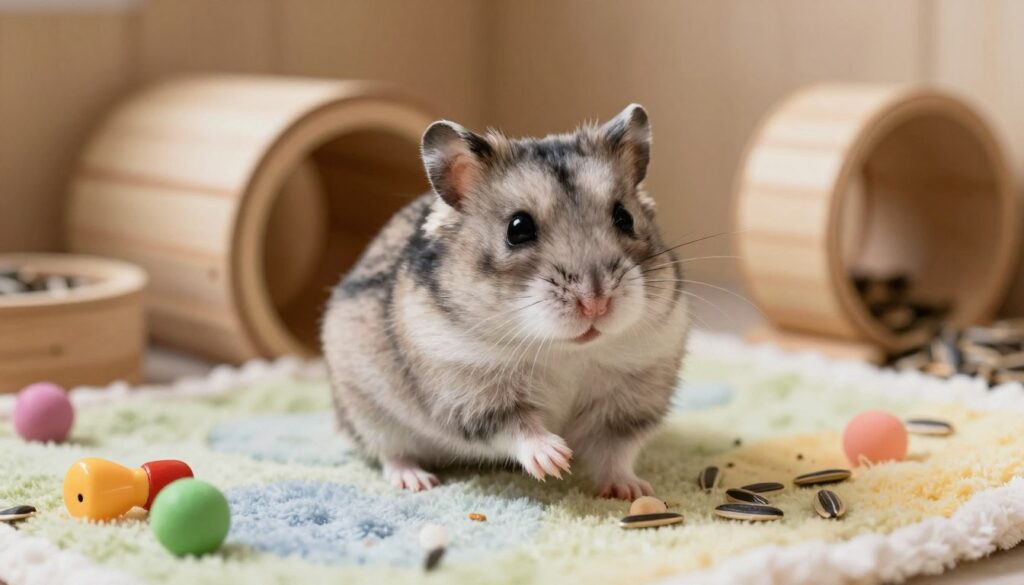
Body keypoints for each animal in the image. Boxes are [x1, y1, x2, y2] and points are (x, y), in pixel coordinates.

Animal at [321, 104, 688, 499]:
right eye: (518, 228)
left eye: (624, 217)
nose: (596, 305)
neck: (567, 351)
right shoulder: (472, 393)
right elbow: (518, 425)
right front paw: (555, 460)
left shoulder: (633, 397)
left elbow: (615, 452)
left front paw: (634, 492)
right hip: (369, 412)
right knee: (390, 452)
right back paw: (418, 481)